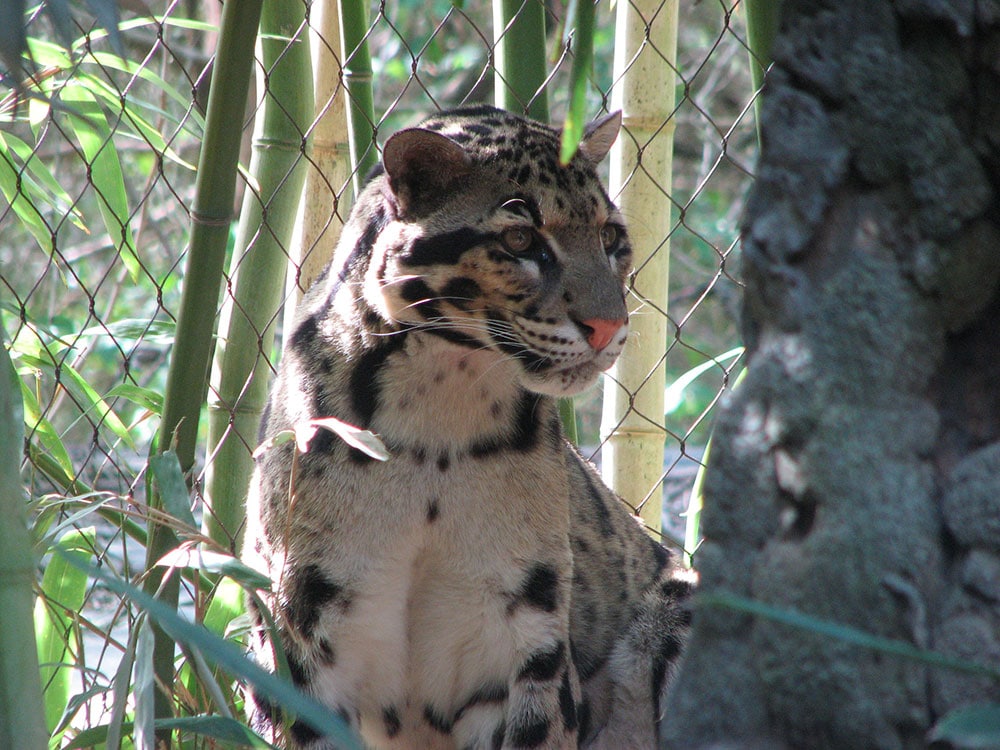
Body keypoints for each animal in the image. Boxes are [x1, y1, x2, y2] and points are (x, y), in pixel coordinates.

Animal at [243, 105, 694, 750]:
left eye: (610, 238)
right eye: (520, 239)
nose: (609, 327)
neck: (440, 413)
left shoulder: (524, 645)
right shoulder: (299, 642)